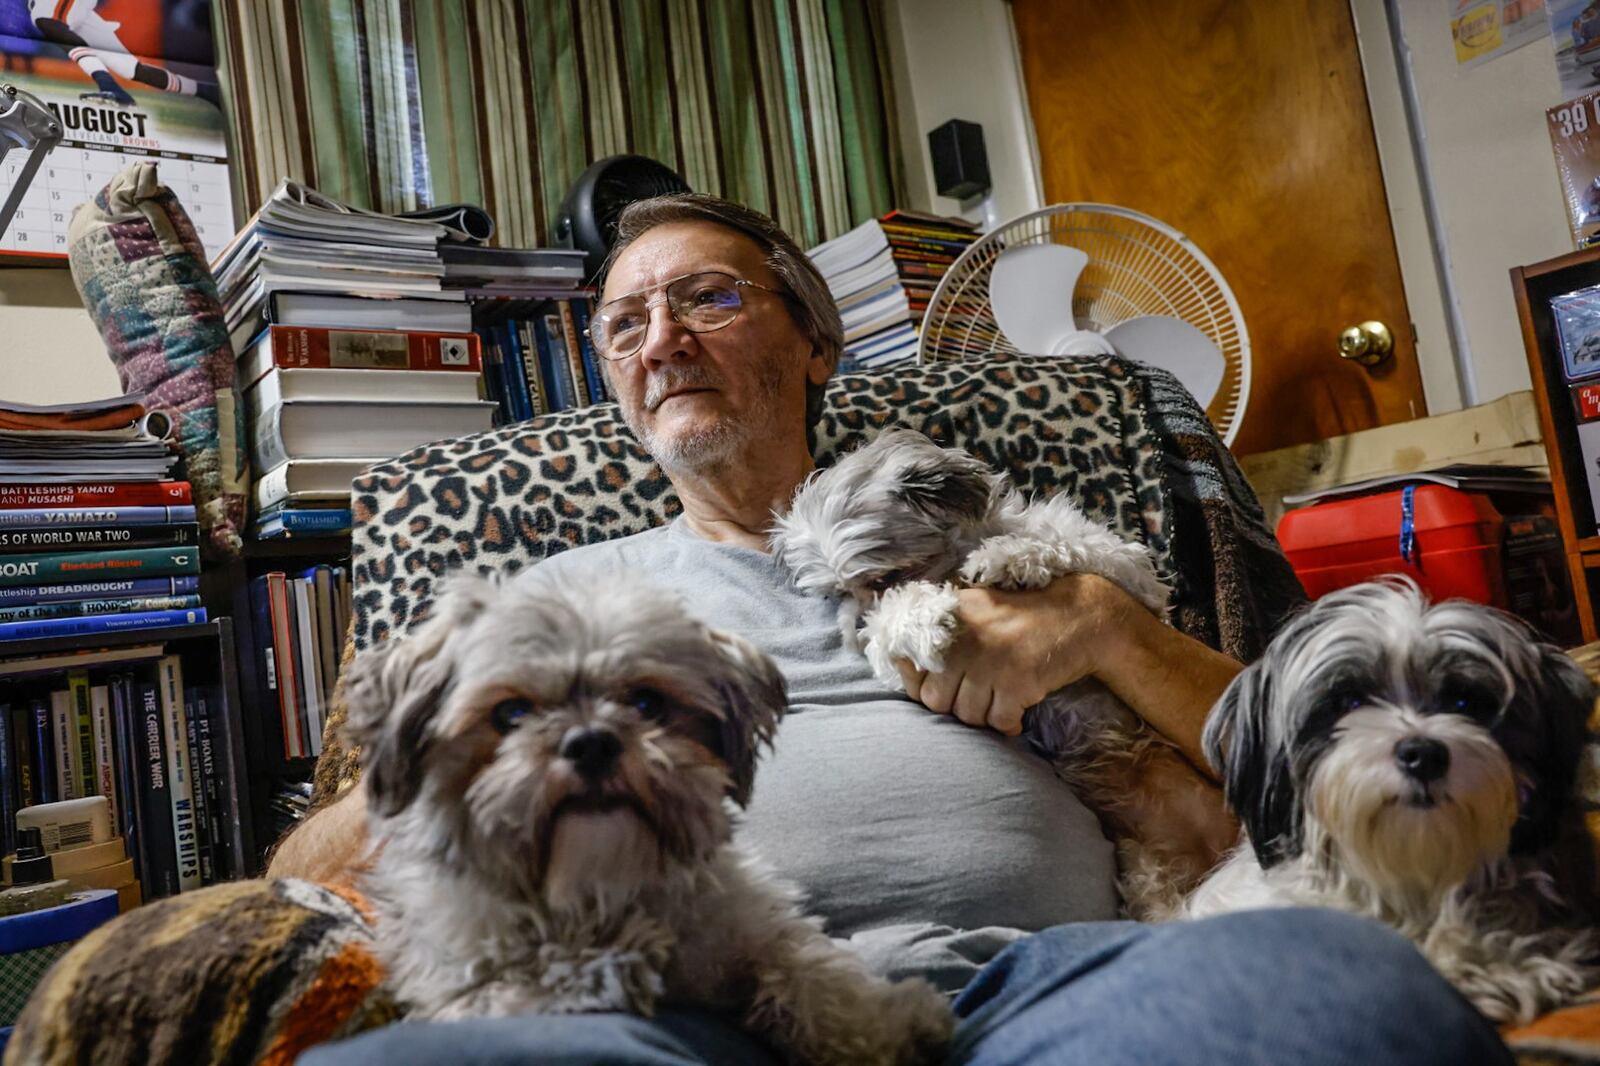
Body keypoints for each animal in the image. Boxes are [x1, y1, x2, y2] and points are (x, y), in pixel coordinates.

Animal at [344, 573, 947, 1062]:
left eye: (646, 704)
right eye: (510, 714)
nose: (591, 743)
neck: (603, 883)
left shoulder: (753, 928)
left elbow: (816, 977)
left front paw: (896, 1025)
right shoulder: (454, 990)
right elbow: (531, 982)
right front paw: (610, 962)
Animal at [768, 428, 1228, 909]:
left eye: (883, 578)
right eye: (833, 594)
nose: (855, 629)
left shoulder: (1137, 579)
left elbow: (1069, 544)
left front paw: (1009, 558)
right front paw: (922, 620)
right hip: (1150, 881)